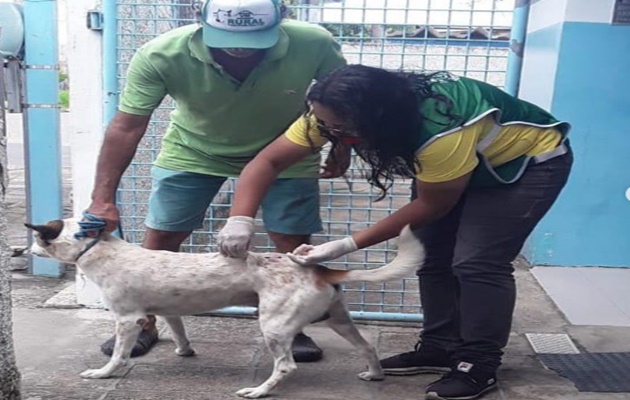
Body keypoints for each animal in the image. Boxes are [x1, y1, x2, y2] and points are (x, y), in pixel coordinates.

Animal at [27, 219, 428, 396]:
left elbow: (118, 357)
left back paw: (259, 391)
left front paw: (103, 373)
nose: (20, 249)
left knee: (286, 366)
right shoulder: (169, 309)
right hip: (338, 319)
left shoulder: (127, 319)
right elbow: (179, 330)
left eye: (36, 238)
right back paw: (375, 375)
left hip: (274, 327)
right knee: (367, 347)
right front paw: (184, 351)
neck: (94, 247)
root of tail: (317, 267)